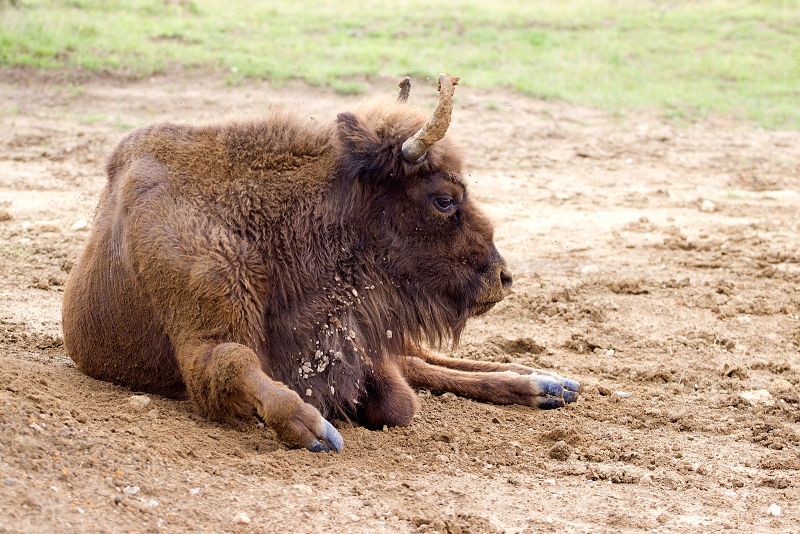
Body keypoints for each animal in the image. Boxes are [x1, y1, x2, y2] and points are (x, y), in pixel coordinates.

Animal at [61, 74, 576, 452]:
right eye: (444, 199)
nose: (501, 276)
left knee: (423, 358)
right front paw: (316, 431)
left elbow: (398, 398)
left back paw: (547, 383)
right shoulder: (202, 336)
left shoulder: (355, 343)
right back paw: (545, 386)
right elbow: (233, 363)